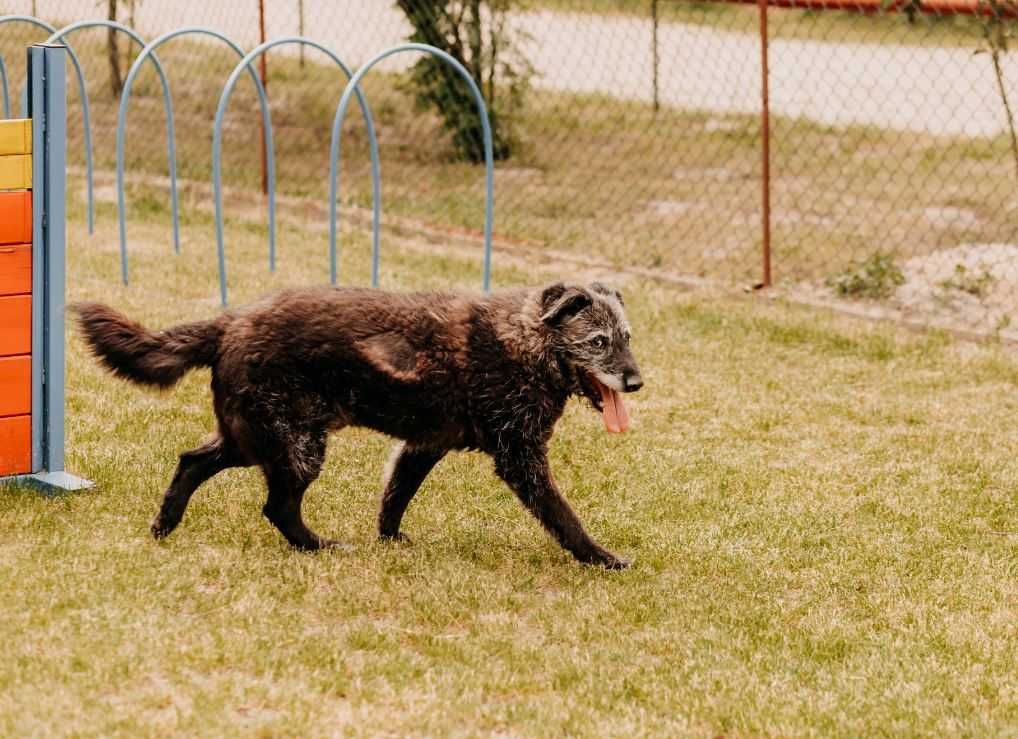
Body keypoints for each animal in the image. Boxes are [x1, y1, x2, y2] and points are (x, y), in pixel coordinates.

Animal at [73, 280, 643, 570]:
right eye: (598, 341)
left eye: (628, 336)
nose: (636, 381)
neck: (526, 340)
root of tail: (230, 321)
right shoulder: (520, 458)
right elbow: (566, 518)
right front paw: (601, 557)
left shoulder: (422, 446)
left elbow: (394, 497)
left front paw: (389, 540)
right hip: (296, 445)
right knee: (276, 506)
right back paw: (317, 546)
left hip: (250, 438)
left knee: (191, 461)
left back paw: (165, 526)